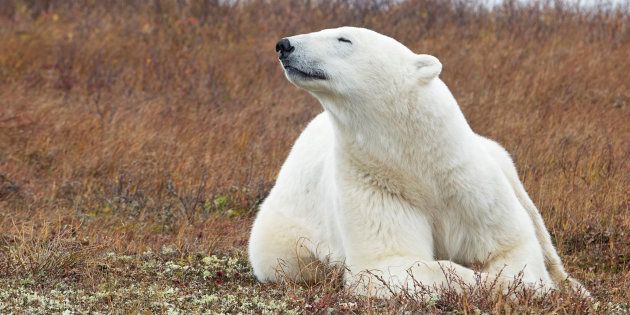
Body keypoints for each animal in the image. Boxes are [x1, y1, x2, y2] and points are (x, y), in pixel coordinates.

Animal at [249, 27, 592, 298]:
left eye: (344, 39)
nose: (284, 45)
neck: (421, 163)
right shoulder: (376, 184)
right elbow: (392, 262)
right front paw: (495, 283)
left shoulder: (472, 184)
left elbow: (513, 246)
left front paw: (531, 284)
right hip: (282, 232)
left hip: (501, 159)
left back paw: (577, 289)